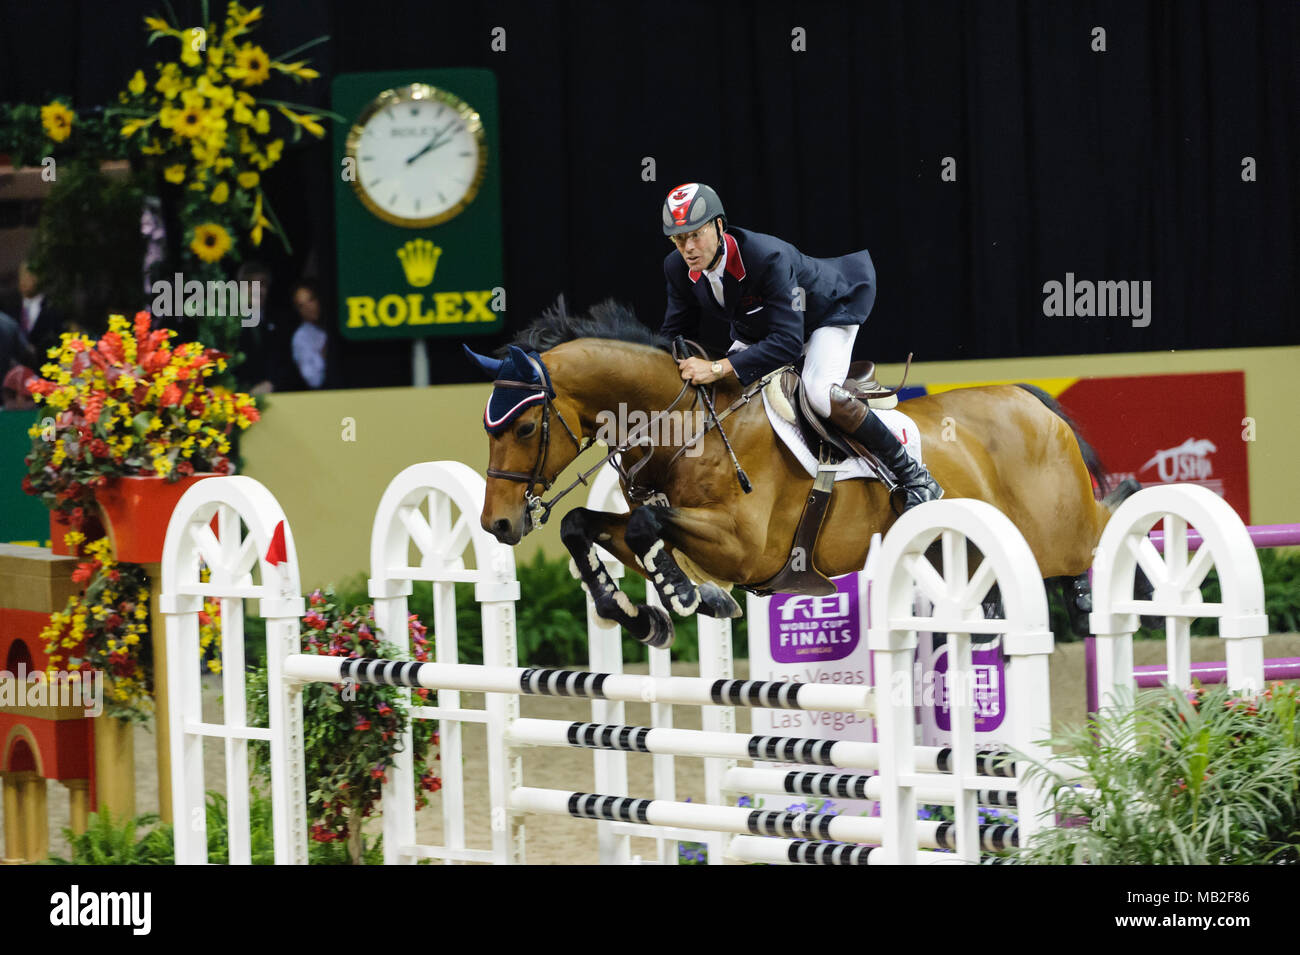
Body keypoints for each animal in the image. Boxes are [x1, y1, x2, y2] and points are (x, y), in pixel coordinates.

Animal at [467, 302, 1118, 654]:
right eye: (487, 427)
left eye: (523, 427)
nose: (497, 524)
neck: (684, 425)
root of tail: (1032, 400)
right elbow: (589, 526)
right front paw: (644, 614)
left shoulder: (745, 547)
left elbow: (646, 525)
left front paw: (685, 595)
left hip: (1059, 535)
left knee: (1104, 536)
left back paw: (1088, 602)